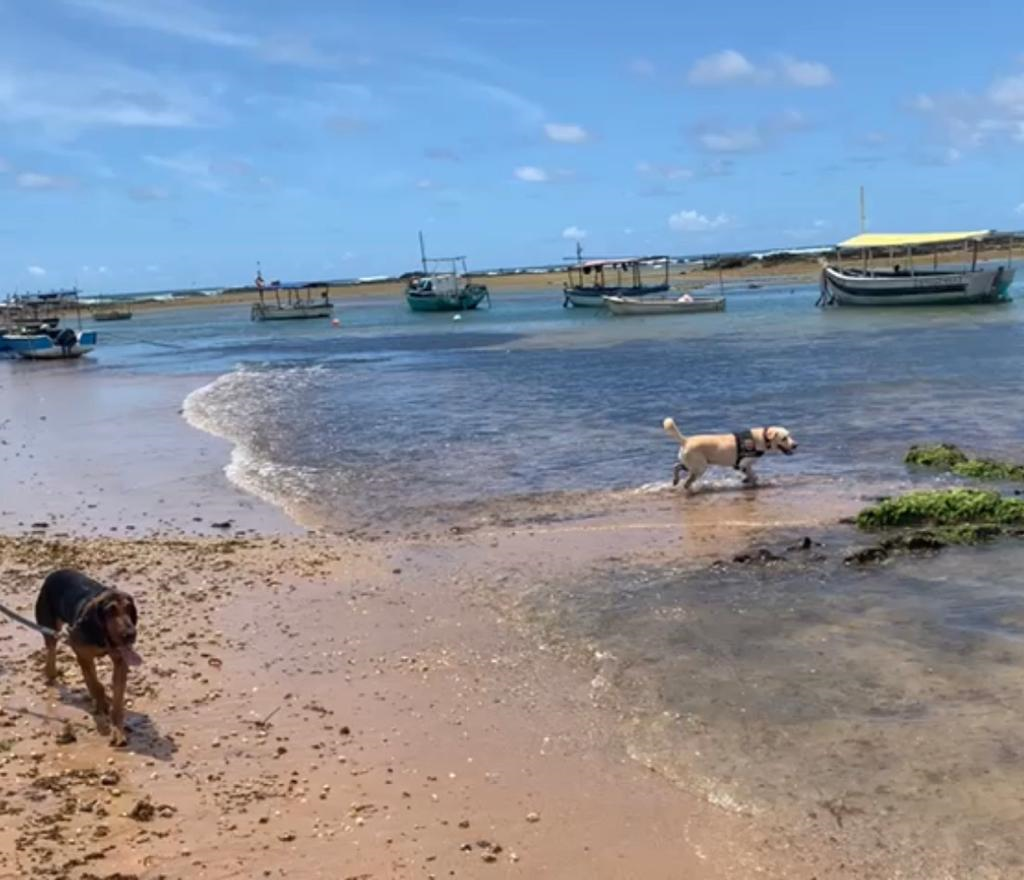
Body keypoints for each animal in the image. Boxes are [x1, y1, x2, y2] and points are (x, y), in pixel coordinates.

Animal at [36, 569, 141, 745]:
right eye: (110, 611)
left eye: (129, 609)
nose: (130, 635)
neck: (101, 637)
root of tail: (54, 573)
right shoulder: (81, 653)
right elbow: (96, 685)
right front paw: (102, 704)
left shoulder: (121, 661)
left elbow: (117, 701)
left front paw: (117, 730)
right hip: (49, 627)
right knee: (51, 651)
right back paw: (51, 673)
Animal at [663, 417, 798, 491]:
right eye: (784, 438)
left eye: (789, 435)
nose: (795, 445)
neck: (762, 438)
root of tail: (685, 440)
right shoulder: (742, 464)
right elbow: (753, 476)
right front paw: (749, 480)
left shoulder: (747, 465)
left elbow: (753, 475)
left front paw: (747, 480)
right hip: (700, 467)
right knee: (687, 482)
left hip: (691, 464)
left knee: (676, 466)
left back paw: (675, 480)